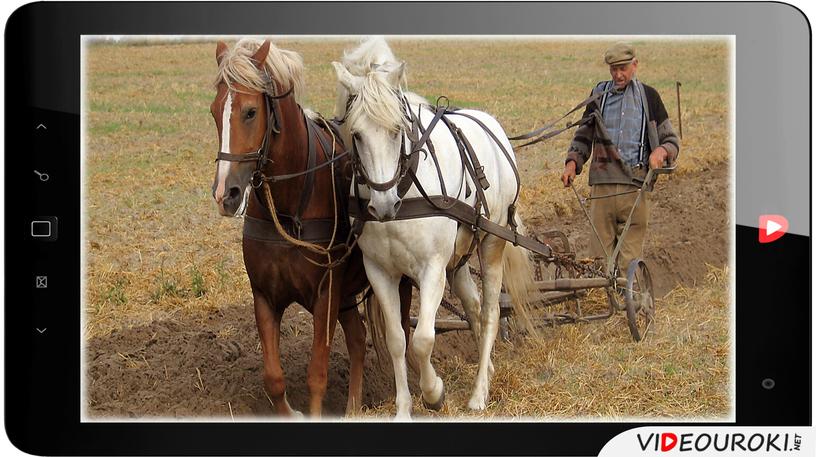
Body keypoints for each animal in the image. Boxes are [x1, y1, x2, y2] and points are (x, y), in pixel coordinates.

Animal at [207, 40, 396, 416]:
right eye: (214, 110)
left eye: (250, 112)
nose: (225, 194)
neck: (289, 204)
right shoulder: (265, 296)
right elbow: (273, 378)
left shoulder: (326, 295)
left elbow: (317, 373)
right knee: (357, 338)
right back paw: (353, 406)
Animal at [334, 38, 536, 416]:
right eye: (356, 134)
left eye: (397, 130)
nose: (384, 205)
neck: (404, 188)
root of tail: (492, 125)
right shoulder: (379, 271)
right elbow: (398, 340)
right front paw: (403, 408)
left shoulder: (431, 269)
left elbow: (423, 339)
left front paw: (434, 392)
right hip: (457, 261)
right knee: (473, 306)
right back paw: (486, 368)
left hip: (491, 243)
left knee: (489, 312)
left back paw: (479, 394)